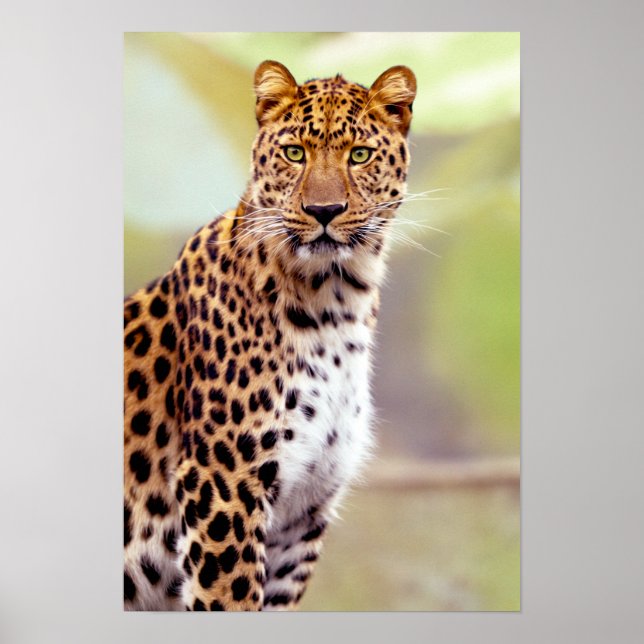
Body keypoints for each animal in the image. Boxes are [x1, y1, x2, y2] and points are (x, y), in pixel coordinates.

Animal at [124, 59, 416, 611]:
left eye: (360, 155)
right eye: (294, 153)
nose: (324, 211)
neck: (335, 304)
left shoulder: (301, 515)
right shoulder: (223, 485)